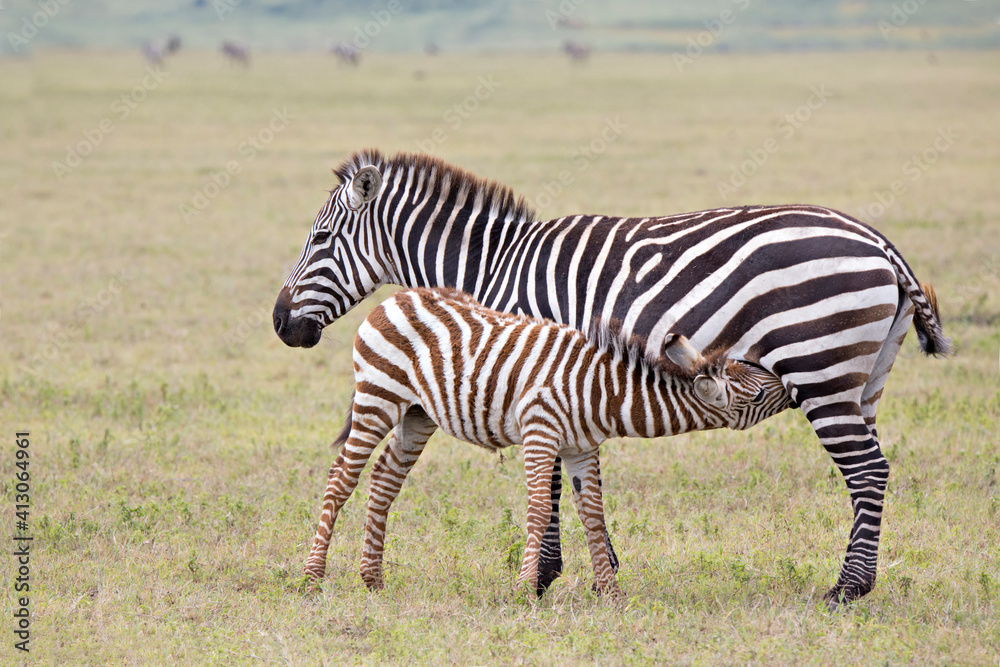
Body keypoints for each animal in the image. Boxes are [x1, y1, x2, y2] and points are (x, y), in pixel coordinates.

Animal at [303, 287, 791, 597]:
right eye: (760, 394)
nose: (789, 381)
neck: (603, 391)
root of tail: (395, 297)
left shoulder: (582, 447)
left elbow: (592, 514)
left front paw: (611, 594)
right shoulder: (540, 431)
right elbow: (539, 509)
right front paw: (523, 590)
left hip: (417, 414)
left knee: (385, 478)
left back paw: (372, 580)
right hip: (378, 396)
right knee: (341, 478)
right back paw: (312, 578)